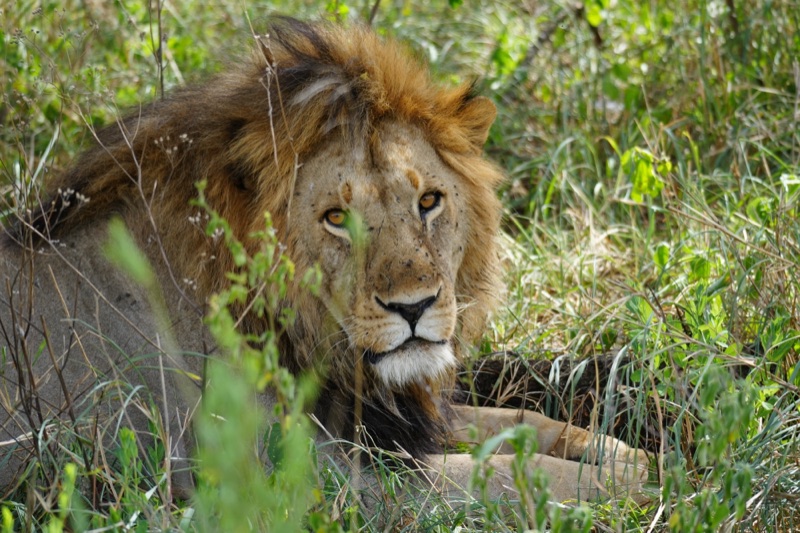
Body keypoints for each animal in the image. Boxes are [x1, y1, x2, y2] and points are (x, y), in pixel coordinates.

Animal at [0, 17, 647, 508]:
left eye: (429, 202)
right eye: (338, 217)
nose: (414, 307)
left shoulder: (388, 421)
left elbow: (521, 421)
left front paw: (628, 454)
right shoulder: (324, 477)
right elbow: (513, 473)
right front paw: (635, 483)